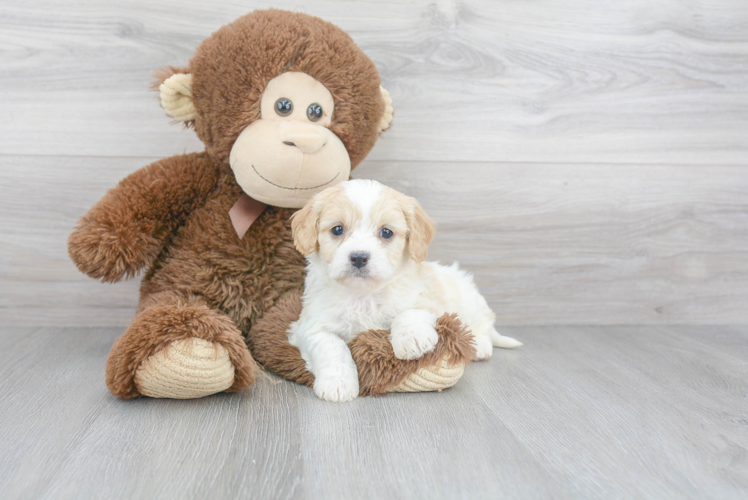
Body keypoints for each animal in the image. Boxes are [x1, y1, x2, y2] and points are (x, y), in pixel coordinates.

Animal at [286, 180, 520, 402]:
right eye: (337, 229)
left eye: (386, 232)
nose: (359, 257)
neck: (364, 295)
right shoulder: (311, 326)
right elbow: (331, 346)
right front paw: (337, 384)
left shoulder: (425, 299)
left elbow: (409, 313)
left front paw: (413, 339)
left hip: (467, 299)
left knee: (483, 325)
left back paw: (480, 346)